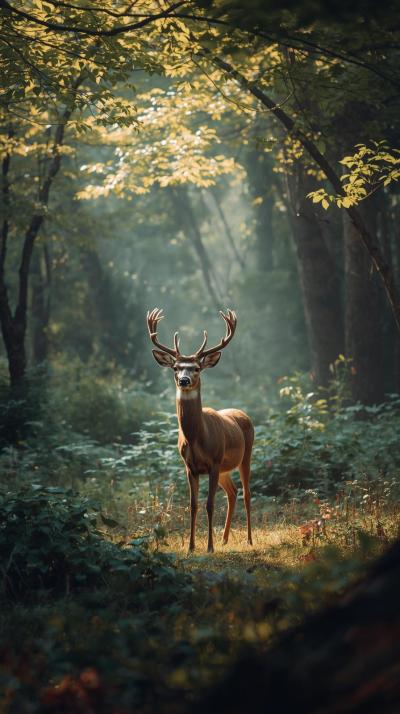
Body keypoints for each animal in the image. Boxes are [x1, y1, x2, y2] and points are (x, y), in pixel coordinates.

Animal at [147, 307, 254, 553]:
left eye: (196, 368)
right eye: (176, 368)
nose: (184, 380)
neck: (197, 438)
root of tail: (243, 414)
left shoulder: (214, 462)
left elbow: (210, 504)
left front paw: (209, 547)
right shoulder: (190, 467)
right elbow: (193, 505)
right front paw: (191, 547)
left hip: (245, 457)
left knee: (246, 494)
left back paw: (249, 540)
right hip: (225, 469)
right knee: (233, 492)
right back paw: (225, 539)